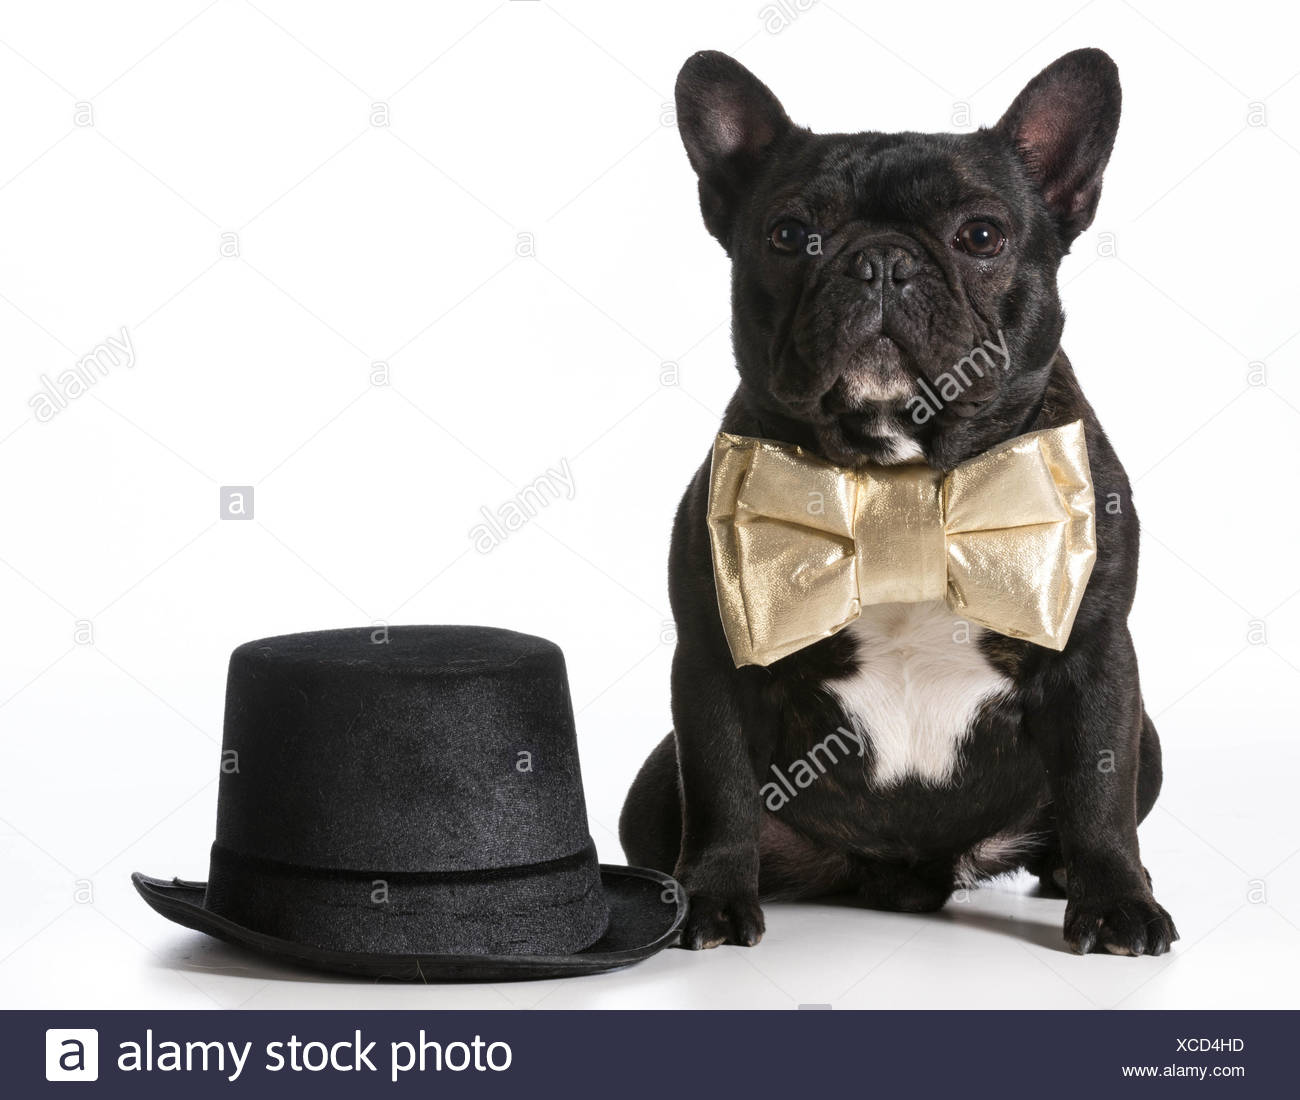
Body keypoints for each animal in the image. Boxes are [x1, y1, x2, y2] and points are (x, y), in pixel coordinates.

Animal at [618, 49, 1180, 956]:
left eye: (981, 235)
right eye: (788, 236)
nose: (881, 259)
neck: (901, 481)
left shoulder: (1094, 655)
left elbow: (1100, 793)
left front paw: (1117, 903)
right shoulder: (713, 656)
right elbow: (720, 785)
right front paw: (711, 897)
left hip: (1150, 743)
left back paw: (1068, 874)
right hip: (648, 793)